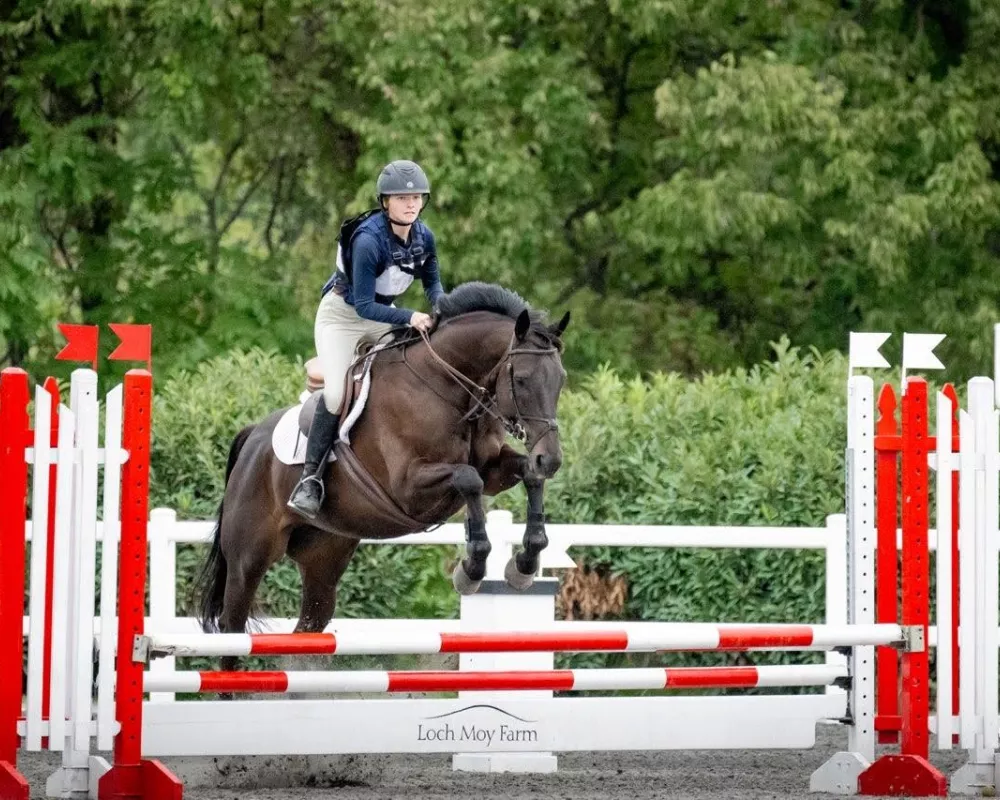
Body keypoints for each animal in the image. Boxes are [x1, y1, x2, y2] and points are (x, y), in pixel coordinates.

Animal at [195, 282, 572, 668]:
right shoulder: (409, 487)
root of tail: (253, 435)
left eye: (561, 380)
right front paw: (471, 569)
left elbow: (524, 476)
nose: (550, 459)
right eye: (522, 380)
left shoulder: (494, 468)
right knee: (232, 628)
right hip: (249, 559)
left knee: (307, 628)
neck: (450, 390)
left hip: (323, 558)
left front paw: (524, 564)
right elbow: (469, 478)